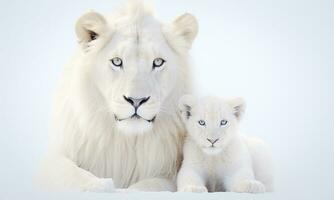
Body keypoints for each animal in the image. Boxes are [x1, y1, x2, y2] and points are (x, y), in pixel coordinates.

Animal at [37, 1, 197, 192]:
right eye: (117, 61)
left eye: (158, 62)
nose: (136, 100)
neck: (125, 144)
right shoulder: (53, 159)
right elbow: (69, 175)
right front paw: (99, 186)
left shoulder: (169, 173)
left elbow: (149, 186)